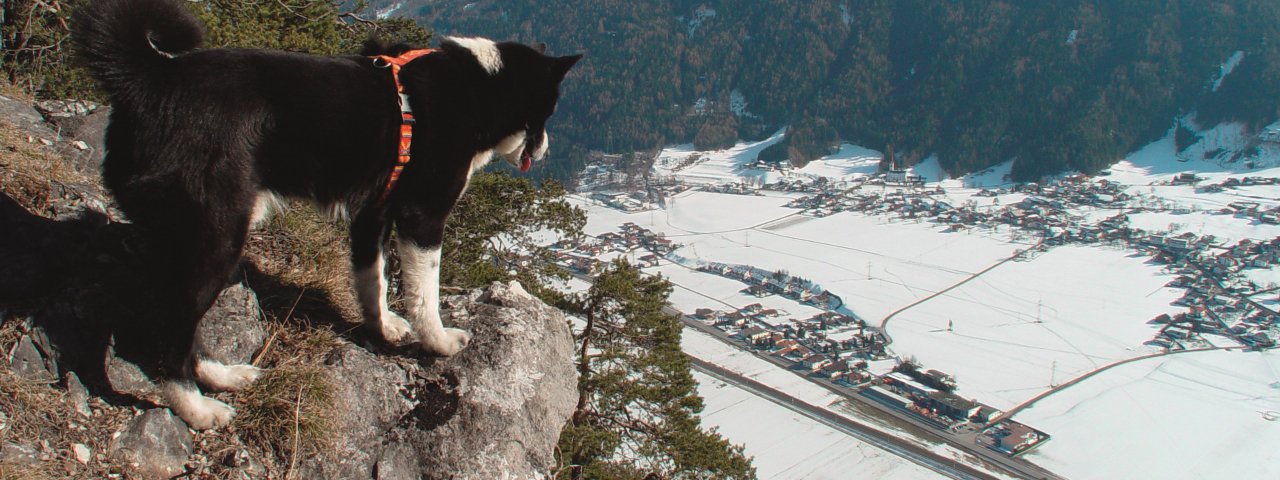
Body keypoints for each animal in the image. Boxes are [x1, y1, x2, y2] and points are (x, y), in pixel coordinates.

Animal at [72, 0, 583, 430]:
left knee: (178, 320)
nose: (547, 147)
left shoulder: (372, 213)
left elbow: (373, 280)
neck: (476, 87)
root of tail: (153, 76)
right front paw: (437, 342)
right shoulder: (422, 215)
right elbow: (425, 293)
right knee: (169, 329)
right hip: (215, 234)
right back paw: (196, 408)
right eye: (549, 111)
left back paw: (222, 375)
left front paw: (383, 328)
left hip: (182, 238)